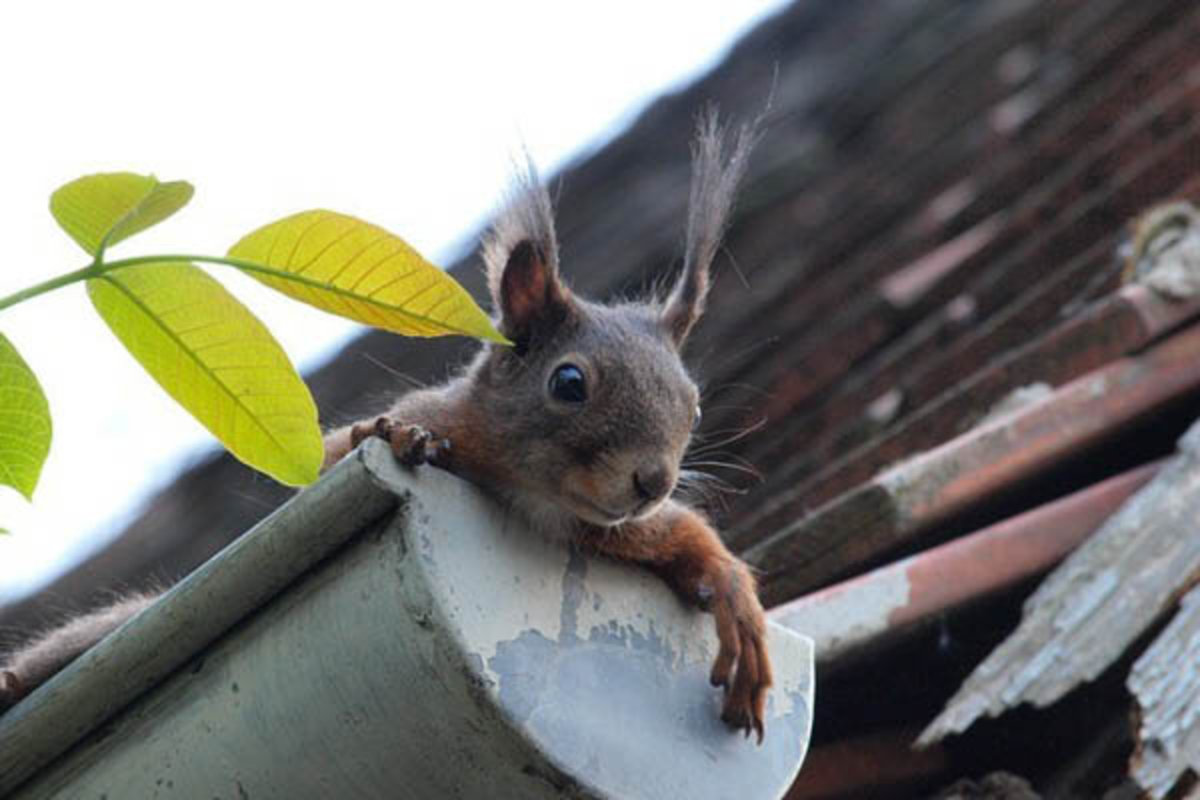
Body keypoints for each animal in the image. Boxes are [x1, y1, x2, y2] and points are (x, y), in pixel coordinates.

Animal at [0, 109, 772, 743]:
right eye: (569, 383)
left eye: (694, 405)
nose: (652, 481)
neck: (535, 494)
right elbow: (332, 458)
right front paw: (396, 438)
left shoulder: (601, 528)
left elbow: (682, 538)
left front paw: (734, 597)